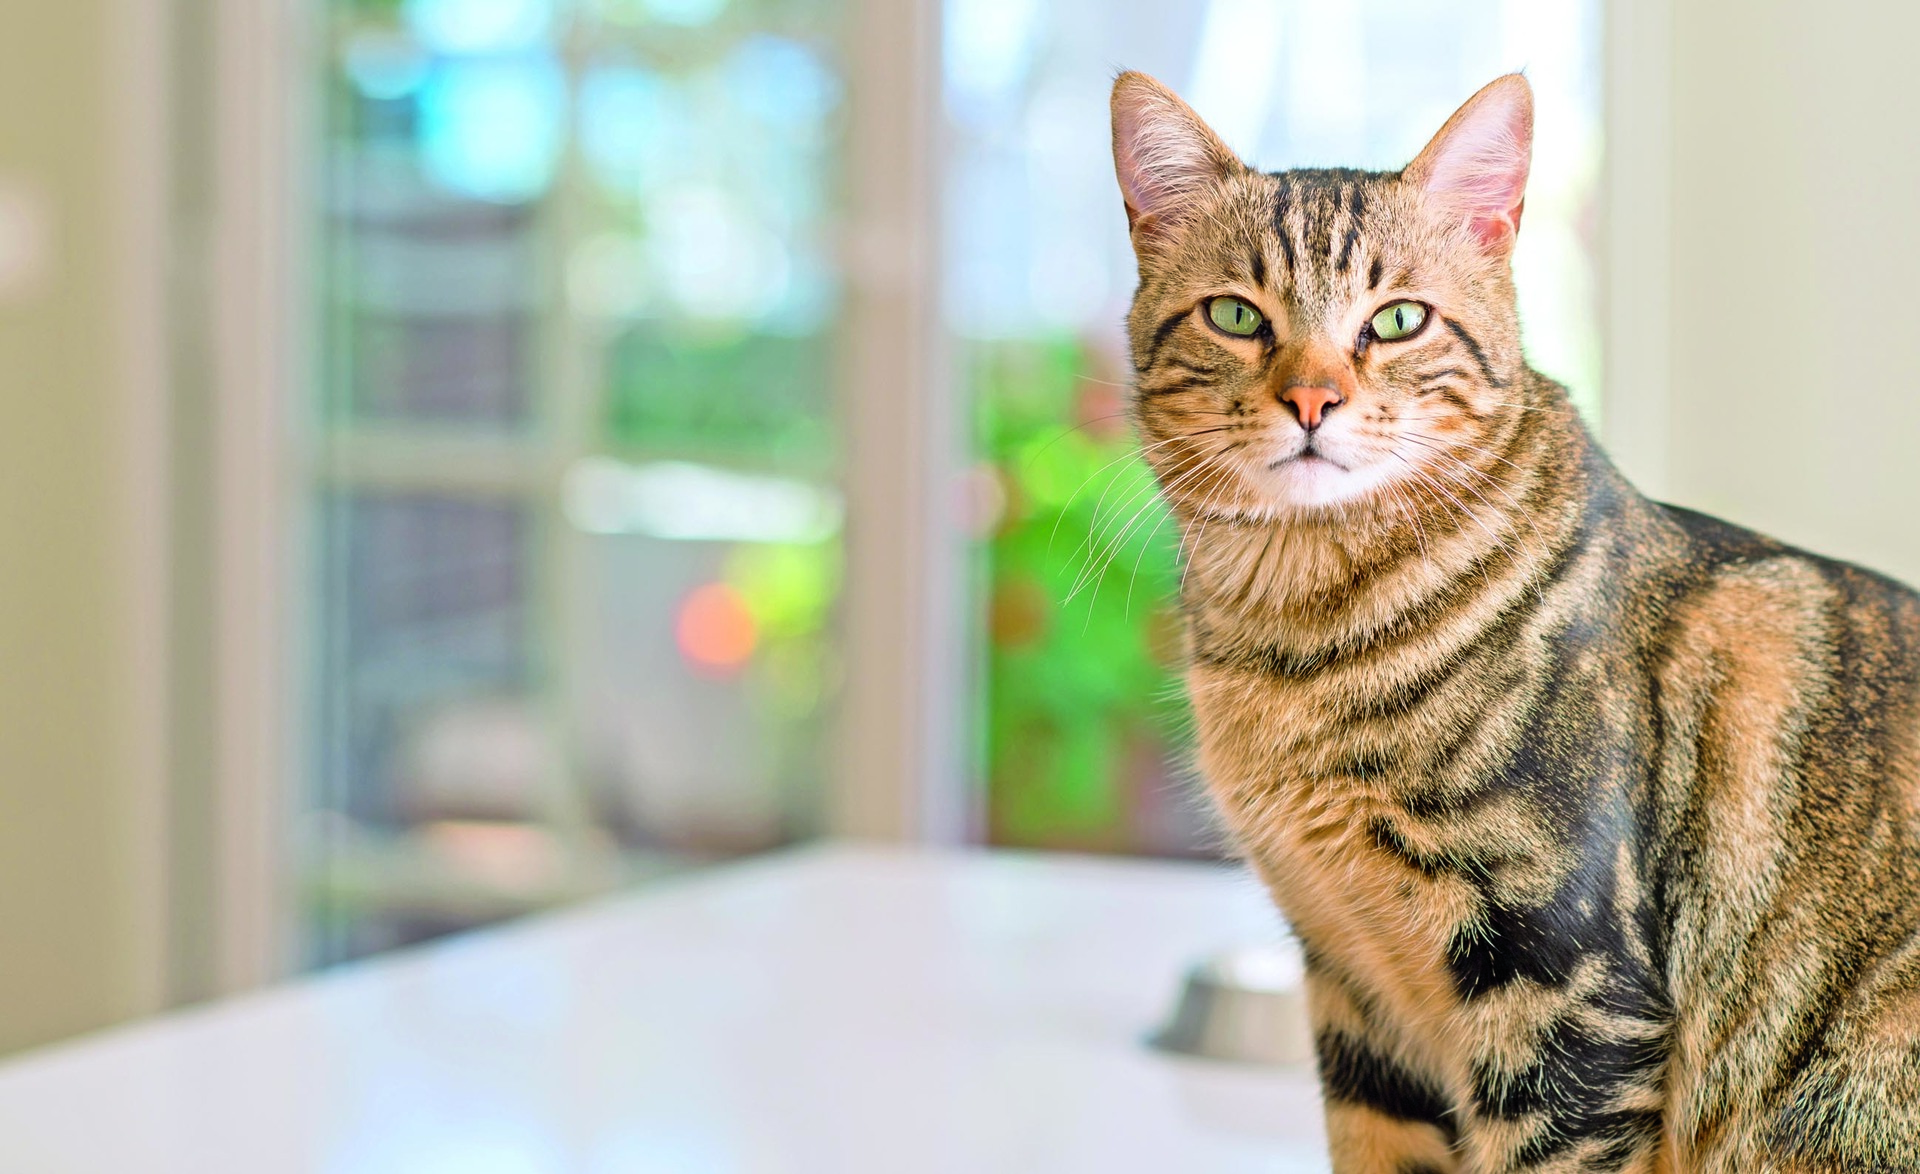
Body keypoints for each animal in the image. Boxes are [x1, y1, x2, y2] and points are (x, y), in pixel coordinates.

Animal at [1121, 68, 1920, 1168]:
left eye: (1398, 320)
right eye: (1238, 315)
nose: (1313, 399)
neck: (1300, 639)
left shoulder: (1567, 979)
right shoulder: (1356, 1000)